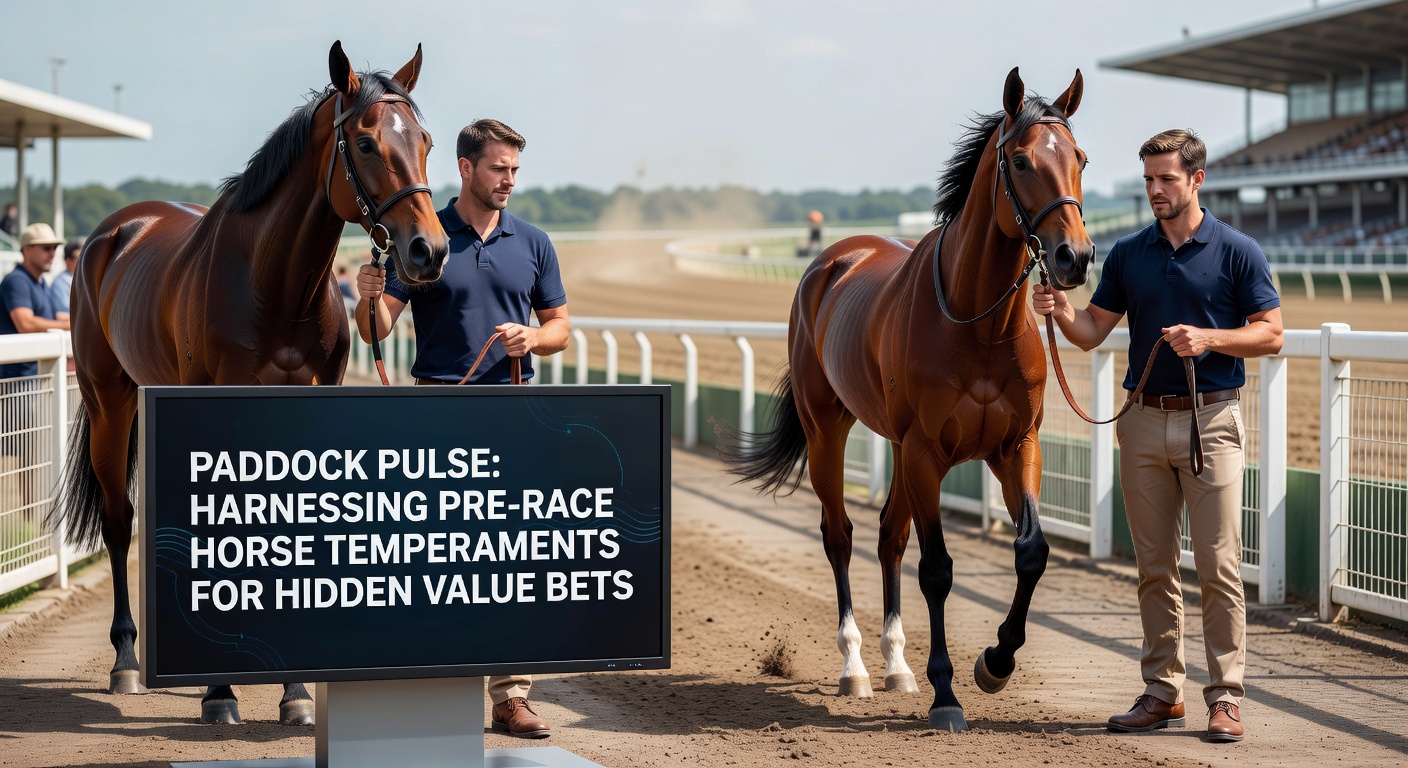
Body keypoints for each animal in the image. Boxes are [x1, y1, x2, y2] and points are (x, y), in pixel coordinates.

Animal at [50, 41, 449, 725]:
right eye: (366, 142)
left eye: (423, 139)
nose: (429, 251)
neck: (273, 284)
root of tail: (115, 232)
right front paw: (220, 692)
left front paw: (295, 693)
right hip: (110, 398)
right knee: (120, 519)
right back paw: (128, 660)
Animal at [723, 68, 1094, 731]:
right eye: (1022, 160)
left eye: (1079, 158)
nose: (1074, 257)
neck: (978, 324)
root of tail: (831, 260)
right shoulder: (925, 450)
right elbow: (938, 569)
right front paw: (947, 693)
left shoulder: (1015, 444)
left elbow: (1031, 551)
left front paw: (995, 663)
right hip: (828, 428)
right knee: (841, 534)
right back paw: (856, 667)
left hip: (895, 445)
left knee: (887, 537)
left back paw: (897, 665)